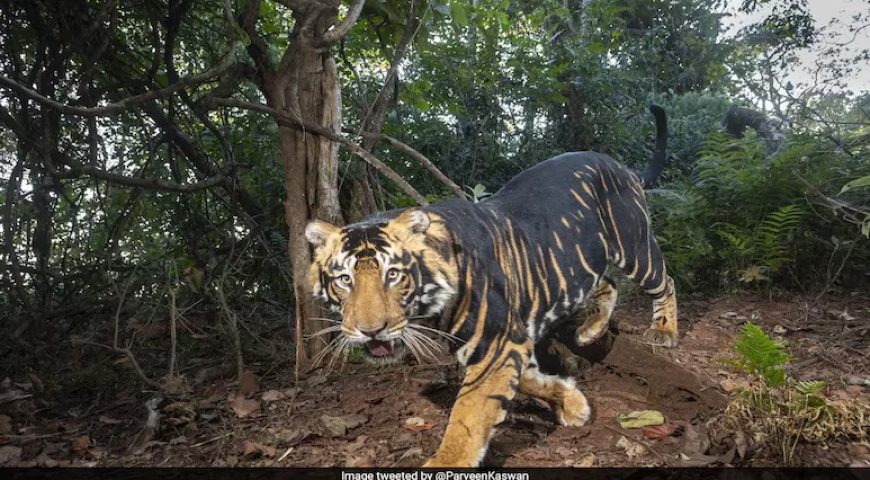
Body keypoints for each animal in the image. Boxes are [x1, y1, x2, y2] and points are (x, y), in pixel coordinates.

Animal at [304, 105, 677, 467]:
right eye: (345, 279)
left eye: (393, 275)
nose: (371, 331)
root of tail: (620, 166)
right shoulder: (507, 344)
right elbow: (527, 380)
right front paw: (572, 402)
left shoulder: (497, 345)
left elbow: (468, 416)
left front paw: (445, 462)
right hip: (583, 261)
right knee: (607, 282)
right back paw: (589, 331)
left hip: (635, 246)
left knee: (665, 281)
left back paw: (664, 331)